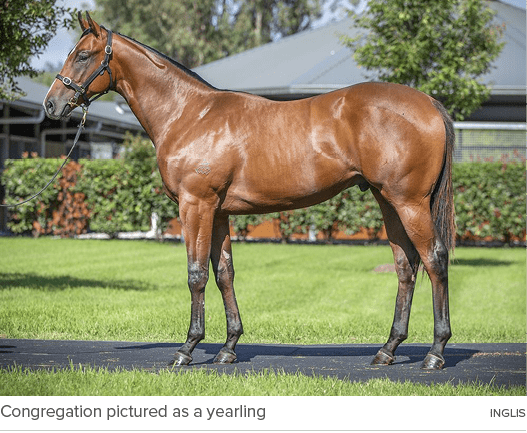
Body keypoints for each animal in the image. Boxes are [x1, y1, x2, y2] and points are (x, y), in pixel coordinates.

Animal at [43, 11, 456, 370]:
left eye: (82, 55)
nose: (51, 104)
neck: (189, 114)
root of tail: (429, 102)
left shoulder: (196, 206)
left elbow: (196, 274)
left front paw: (187, 349)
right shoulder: (219, 212)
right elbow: (224, 273)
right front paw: (228, 347)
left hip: (409, 203)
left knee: (435, 260)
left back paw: (435, 352)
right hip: (387, 201)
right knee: (406, 266)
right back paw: (387, 349)